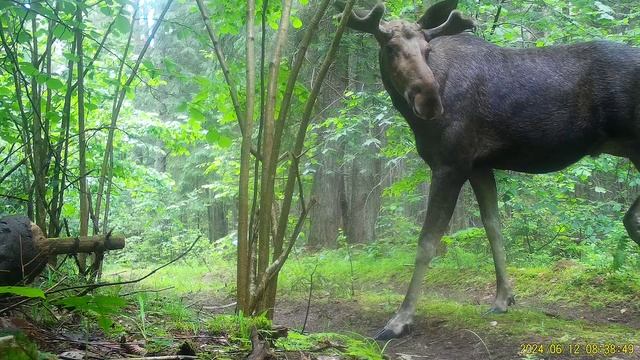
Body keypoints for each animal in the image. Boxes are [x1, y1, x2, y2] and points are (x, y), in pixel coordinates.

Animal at [336, 0, 640, 340]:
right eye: (390, 48)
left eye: (428, 49)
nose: (430, 100)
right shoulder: (479, 165)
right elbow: (493, 226)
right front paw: (503, 298)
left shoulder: (450, 163)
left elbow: (427, 241)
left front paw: (400, 319)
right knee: (632, 216)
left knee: (632, 217)